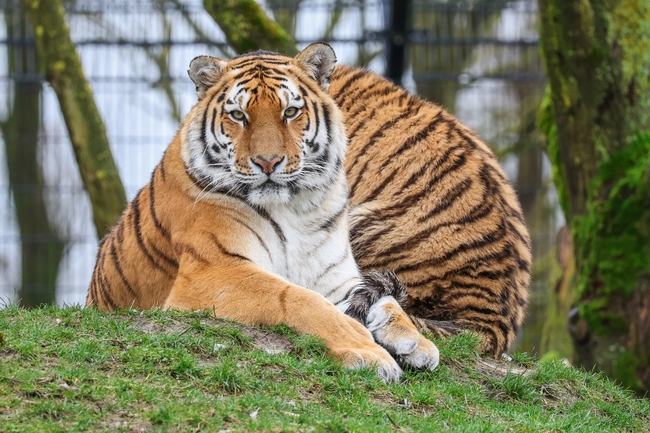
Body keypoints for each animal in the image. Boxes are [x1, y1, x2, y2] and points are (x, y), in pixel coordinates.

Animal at [86, 42, 440, 382]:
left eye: (291, 111)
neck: (296, 208)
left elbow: (386, 301)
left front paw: (415, 342)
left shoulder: (336, 277)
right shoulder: (214, 271)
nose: (267, 162)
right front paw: (366, 350)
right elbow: (297, 298)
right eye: (238, 115)